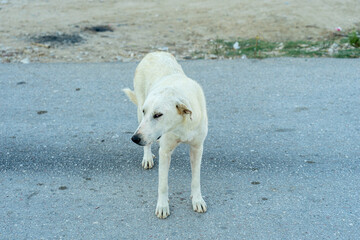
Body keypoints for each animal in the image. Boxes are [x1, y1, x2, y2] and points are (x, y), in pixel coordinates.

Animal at [124, 51, 208, 218]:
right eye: (146, 111)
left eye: (158, 115)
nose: (134, 139)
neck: (181, 126)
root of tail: (155, 52)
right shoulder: (165, 152)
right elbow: (163, 184)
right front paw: (163, 206)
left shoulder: (197, 148)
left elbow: (196, 179)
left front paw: (197, 200)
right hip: (139, 113)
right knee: (147, 143)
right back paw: (147, 157)